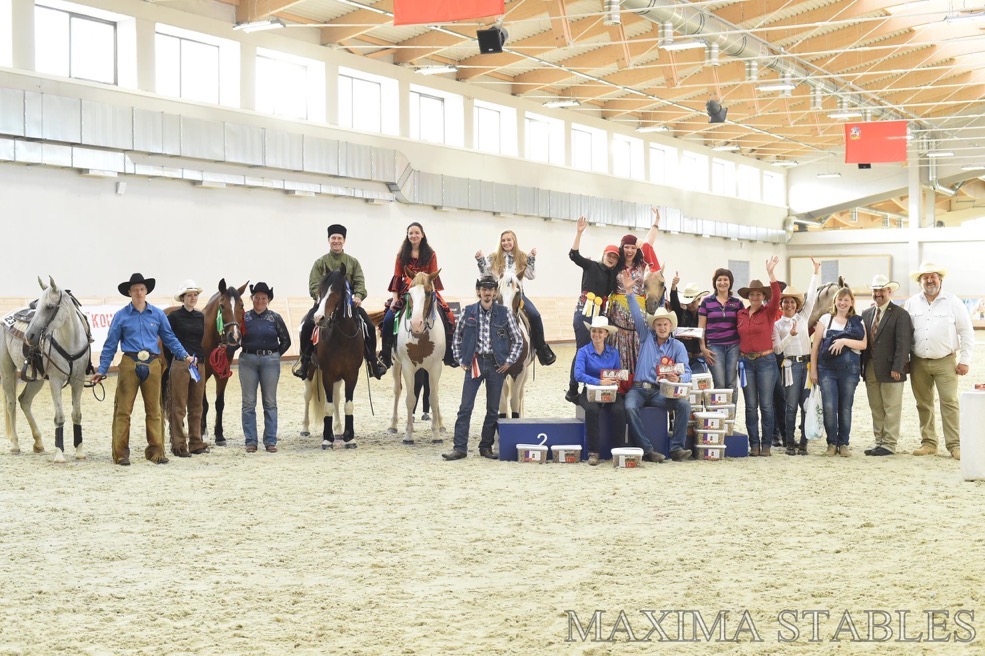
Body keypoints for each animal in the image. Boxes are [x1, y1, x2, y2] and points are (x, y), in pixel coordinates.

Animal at [0, 276, 92, 462]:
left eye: (49, 306)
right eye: (39, 305)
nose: (29, 336)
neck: (70, 341)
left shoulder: (78, 381)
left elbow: (76, 414)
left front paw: (79, 452)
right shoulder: (55, 381)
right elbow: (59, 417)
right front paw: (59, 455)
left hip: (37, 379)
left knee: (24, 401)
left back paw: (38, 443)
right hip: (7, 371)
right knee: (11, 403)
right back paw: (15, 445)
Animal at [386, 268, 444, 446]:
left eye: (428, 292)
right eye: (409, 294)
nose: (416, 324)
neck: (421, 336)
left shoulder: (435, 367)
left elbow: (434, 398)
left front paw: (436, 434)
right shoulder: (407, 367)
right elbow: (410, 398)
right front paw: (408, 435)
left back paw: (441, 424)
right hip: (396, 364)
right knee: (397, 391)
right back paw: (393, 425)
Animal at [496, 272, 536, 418]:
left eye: (518, 293)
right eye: (498, 291)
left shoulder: (520, 371)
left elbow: (514, 402)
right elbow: (502, 403)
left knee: (519, 395)